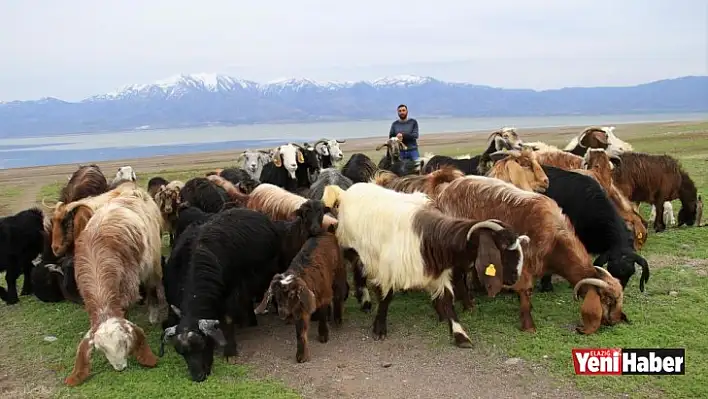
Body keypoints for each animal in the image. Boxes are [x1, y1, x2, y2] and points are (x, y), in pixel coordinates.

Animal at [63, 192, 166, 386]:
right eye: (101, 350)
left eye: (124, 343)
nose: (121, 368)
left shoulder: (129, 286)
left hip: (153, 261)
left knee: (153, 285)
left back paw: (155, 311)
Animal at [254, 230, 348, 364]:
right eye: (276, 295)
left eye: (292, 294)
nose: (282, 313)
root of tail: (325, 232)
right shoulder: (299, 308)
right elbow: (300, 332)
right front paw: (301, 356)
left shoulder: (324, 296)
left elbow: (323, 315)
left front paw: (323, 335)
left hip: (339, 272)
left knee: (339, 296)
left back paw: (338, 319)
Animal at [434, 177, 628, 336]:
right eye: (607, 299)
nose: (616, 320)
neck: (555, 239)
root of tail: (444, 192)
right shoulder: (525, 262)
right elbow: (526, 291)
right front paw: (529, 326)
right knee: (458, 275)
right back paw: (468, 305)